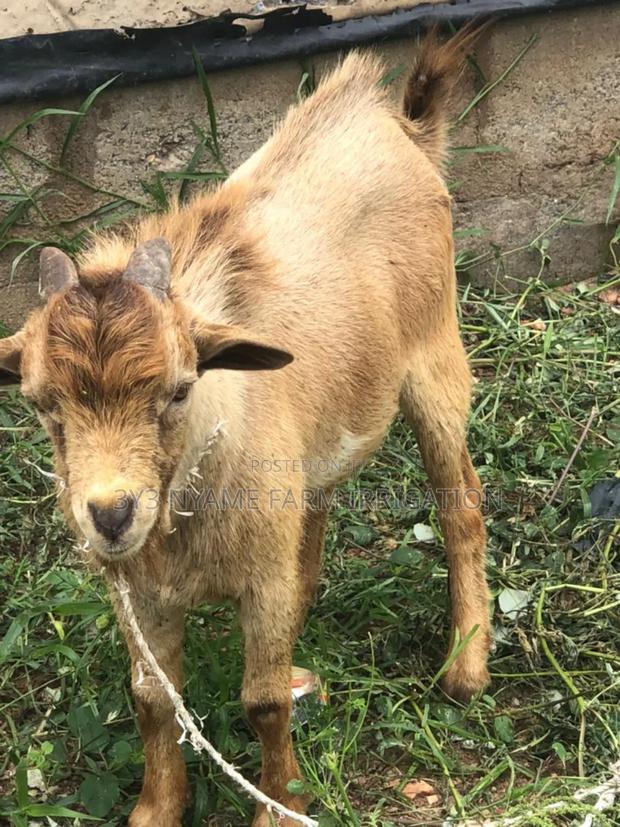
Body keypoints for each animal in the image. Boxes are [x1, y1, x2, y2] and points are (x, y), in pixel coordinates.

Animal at [0, 27, 491, 826]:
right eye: (43, 403)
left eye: (177, 389)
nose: (111, 514)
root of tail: (401, 124)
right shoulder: (138, 594)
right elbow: (152, 699)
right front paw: (157, 808)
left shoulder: (256, 583)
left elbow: (263, 701)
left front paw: (278, 804)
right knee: (317, 503)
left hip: (435, 354)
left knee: (462, 502)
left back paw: (466, 662)